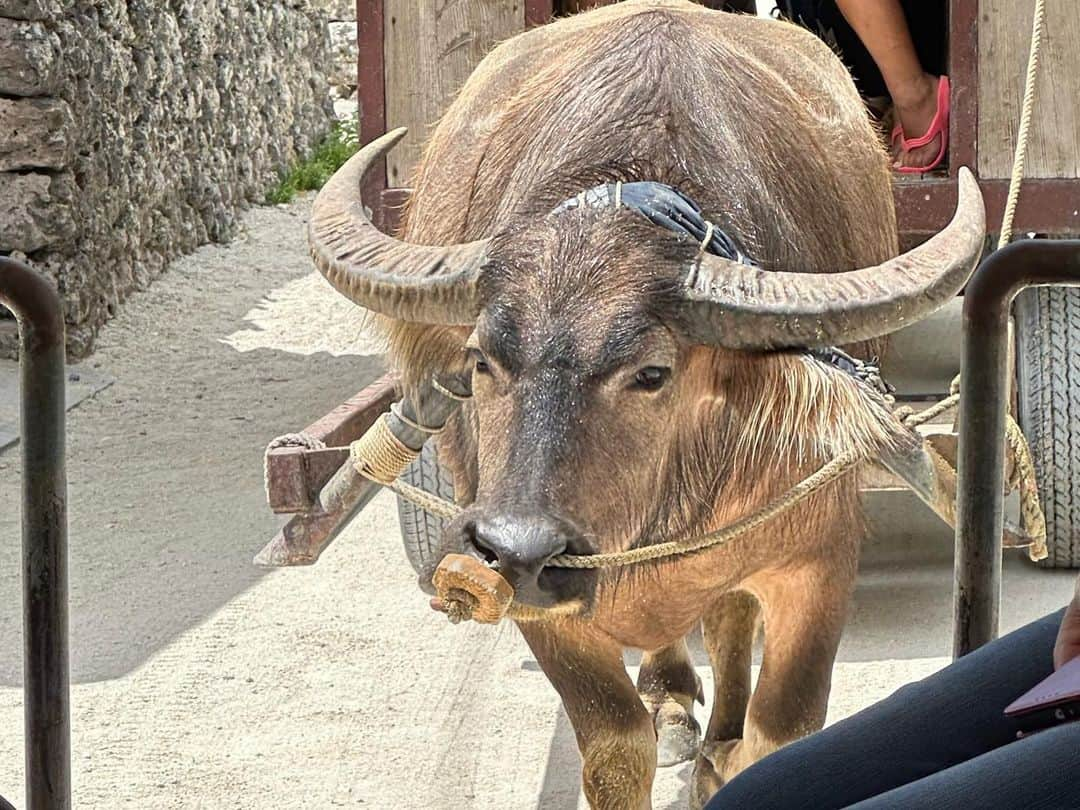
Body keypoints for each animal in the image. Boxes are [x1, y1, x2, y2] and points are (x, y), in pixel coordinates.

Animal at [308, 3, 984, 807]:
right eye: (480, 360)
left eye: (652, 373)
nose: (517, 548)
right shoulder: (540, 603)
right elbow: (613, 744)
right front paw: (658, 720)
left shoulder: (816, 557)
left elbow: (780, 730)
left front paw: (731, 754)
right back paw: (671, 704)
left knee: (727, 617)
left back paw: (715, 737)